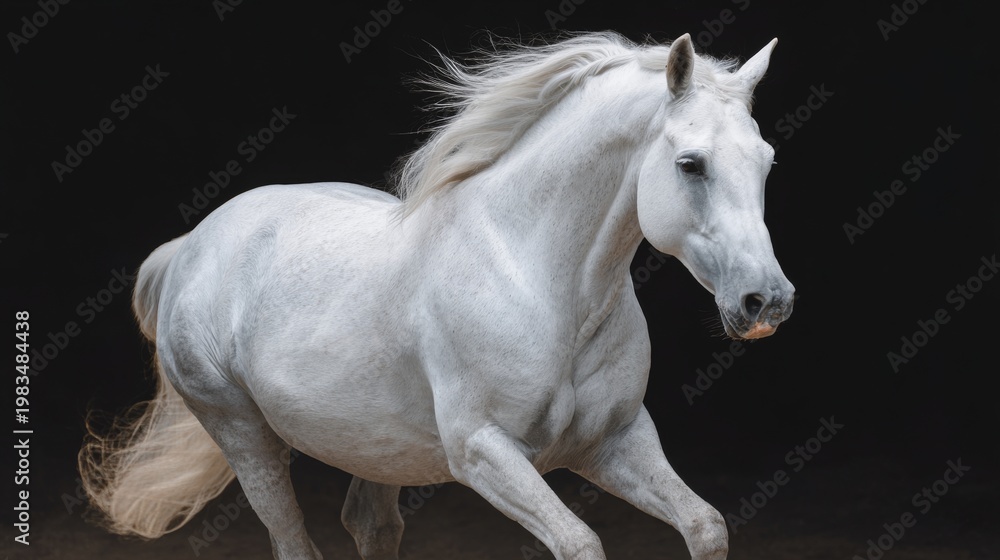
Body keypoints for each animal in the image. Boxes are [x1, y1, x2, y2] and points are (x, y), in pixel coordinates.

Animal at [79, 31, 795, 560]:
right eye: (690, 164)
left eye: (766, 160)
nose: (766, 302)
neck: (540, 283)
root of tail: (191, 247)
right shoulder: (483, 452)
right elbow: (580, 543)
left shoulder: (616, 440)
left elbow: (705, 526)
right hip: (244, 435)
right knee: (293, 541)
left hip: (371, 446)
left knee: (372, 527)